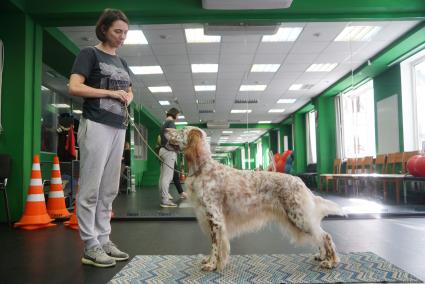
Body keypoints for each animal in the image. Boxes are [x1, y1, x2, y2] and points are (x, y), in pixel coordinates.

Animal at [164, 127, 342, 272]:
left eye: (181, 131)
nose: (165, 130)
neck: (203, 169)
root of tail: (299, 181)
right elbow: (215, 246)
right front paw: (209, 261)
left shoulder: (215, 218)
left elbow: (215, 246)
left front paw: (212, 265)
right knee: (319, 235)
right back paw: (322, 256)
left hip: (299, 216)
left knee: (325, 236)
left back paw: (331, 262)